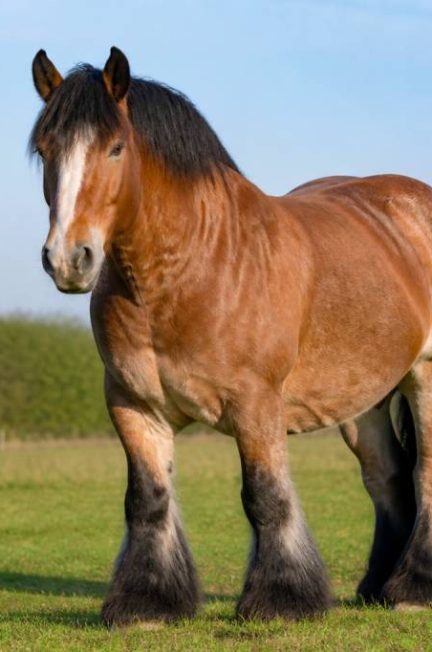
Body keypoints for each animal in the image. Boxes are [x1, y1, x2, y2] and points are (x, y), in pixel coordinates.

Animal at [30, 46, 432, 626]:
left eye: (115, 148)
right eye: (45, 151)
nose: (68, 259)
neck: (193, 267)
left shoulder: (255, 404)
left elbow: (264, 496)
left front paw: (280, 599)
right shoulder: (133, 404)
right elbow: (147, 499)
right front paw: (146, 602)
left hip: (423, 377)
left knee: (424, 473)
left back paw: (413, 589)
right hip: (362, 402)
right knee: (388, 477)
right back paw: (379, 585)